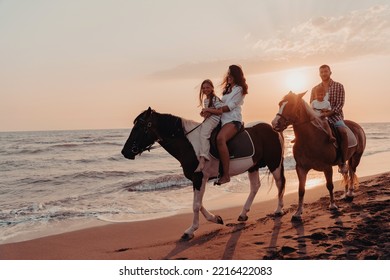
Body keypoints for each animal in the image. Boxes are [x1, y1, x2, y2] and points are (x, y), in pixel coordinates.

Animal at [122, 107, 286, 241]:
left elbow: (195, 205)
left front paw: (190, 231)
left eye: (139, 127)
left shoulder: (199, 177)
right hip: (253, 166)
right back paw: (243, 214)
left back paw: (278, 210)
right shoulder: (198, 179)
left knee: (280, 183)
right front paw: (216, 218)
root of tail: (272, 128)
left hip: (274, 163)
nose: (125, 152)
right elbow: (198, 203)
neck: (189, 144)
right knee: (255, 187)